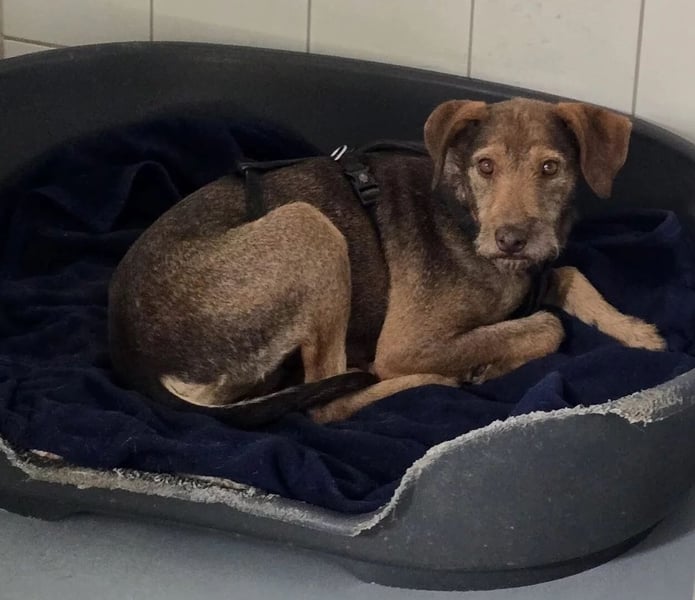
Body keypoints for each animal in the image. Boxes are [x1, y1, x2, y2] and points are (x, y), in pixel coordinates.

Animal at [108, 97, 666, 426]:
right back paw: (430, 380)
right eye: (485, 166)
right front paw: (488, 360)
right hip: (312, 230)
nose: (511, 240)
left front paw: (636, 331)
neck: (463, 214)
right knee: (328, 403)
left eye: (550, 168)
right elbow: (547, 324)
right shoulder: (407, 343)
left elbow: (569, 276)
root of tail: (132, 351)